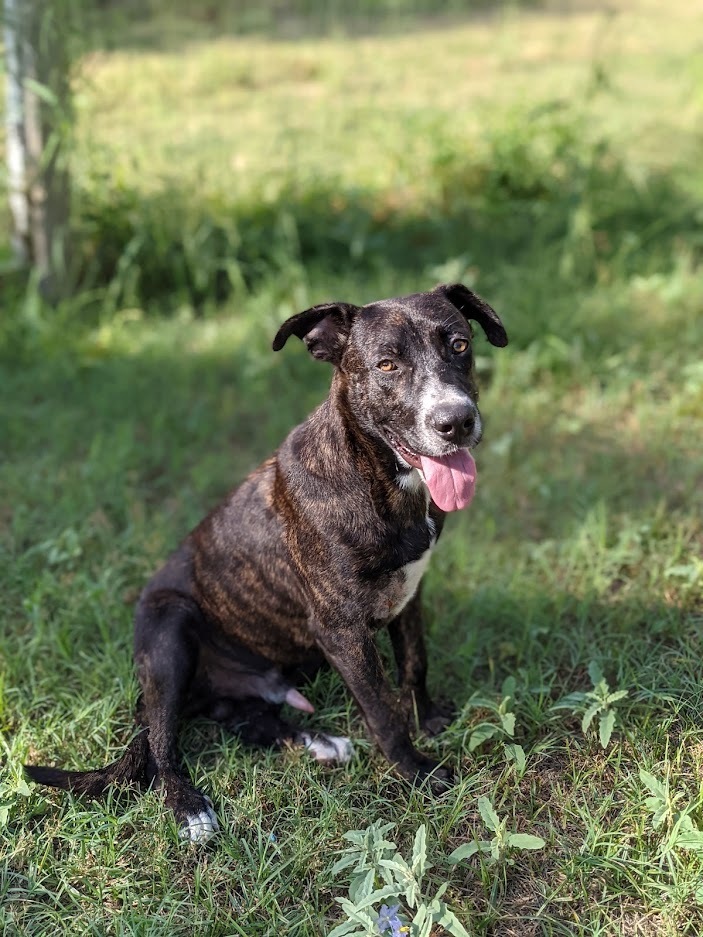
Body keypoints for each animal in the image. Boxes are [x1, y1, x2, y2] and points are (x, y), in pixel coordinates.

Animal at [27, 284, 508, 840]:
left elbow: (414, 663)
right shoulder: (341, 631)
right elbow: (381, 709)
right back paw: (190, 809)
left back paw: (320, 742)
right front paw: (418, 772)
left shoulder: (410, 595)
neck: (378, 477)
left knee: (250, 722)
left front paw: (428, 719)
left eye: (459, 345)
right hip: (168, 636)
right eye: (386, 364)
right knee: (163, 746)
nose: (456, 422)